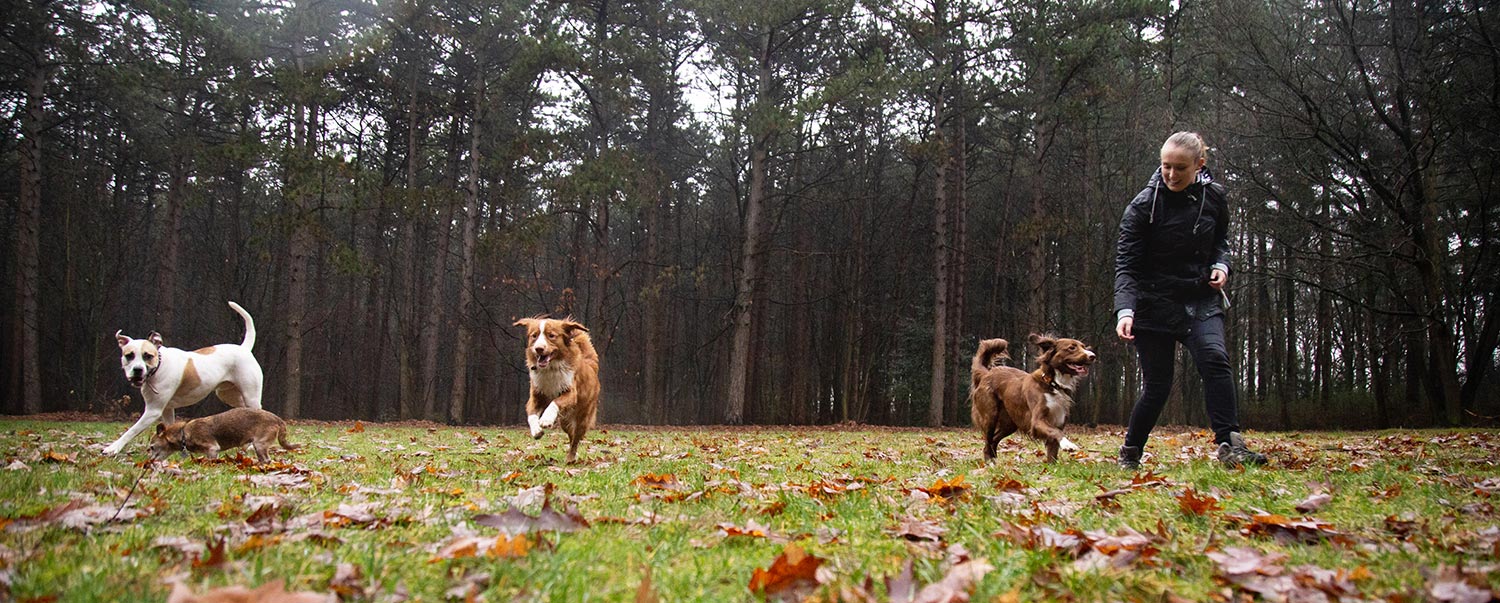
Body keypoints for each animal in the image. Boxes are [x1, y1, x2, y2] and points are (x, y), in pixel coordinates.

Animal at [105, 304, 267, 456]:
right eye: (129, 355)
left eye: (148, 356)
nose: (138, 370)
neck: (159, 366)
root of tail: (244, 349)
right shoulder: (167, 409)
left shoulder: (153, 411)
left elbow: (131, 430)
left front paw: (113, 448)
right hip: (228, 395)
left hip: (250, 395)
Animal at [146, 408, 298, 465]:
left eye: (152, 447)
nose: (150, 461)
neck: (184, 432)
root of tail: (278, 419)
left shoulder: (212, 449)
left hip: (259, 444)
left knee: (267, 460)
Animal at [513, 318, 600, 465]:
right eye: (534, 336)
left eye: (551, 335)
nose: (539, 348)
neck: (550, 368)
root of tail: (591, 365)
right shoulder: (535, 395)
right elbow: (531, 415)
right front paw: (536, 430)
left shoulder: (571, 393)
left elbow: (555, 402)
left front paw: (546, 419)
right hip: (565, 421)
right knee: (571, 435)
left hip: (583, 417)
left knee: (576, 439)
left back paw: (571, 458)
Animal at [966, 331, 1098, 465]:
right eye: (1072, 347)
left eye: (1083, 346)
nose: (1093, 356)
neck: (1053, 384)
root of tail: (986, 374)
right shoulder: (1037, 421)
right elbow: (1056, 432)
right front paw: (1068, 444)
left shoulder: (1058, 420)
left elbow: (1053, 450)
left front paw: (1052, 467)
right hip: (990, 416)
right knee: (987, 442)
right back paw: (990, 464)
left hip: (1009, 423)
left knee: (994, 440)